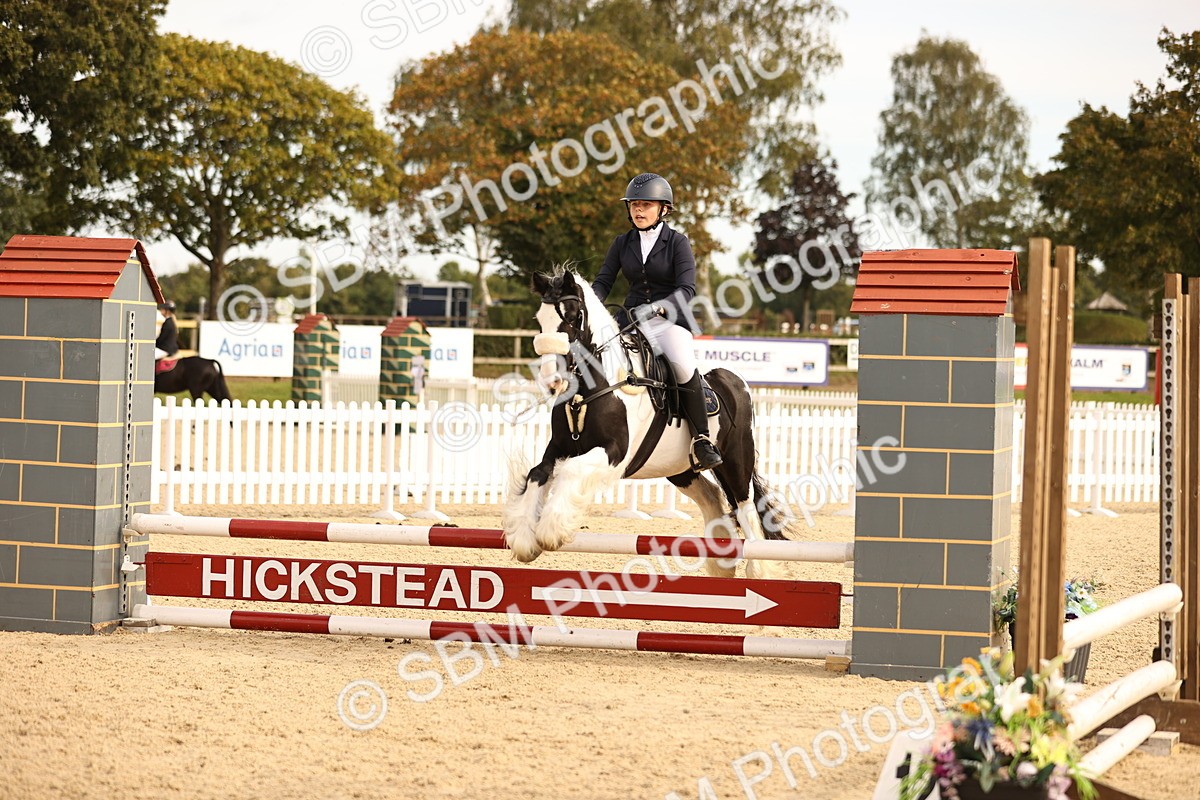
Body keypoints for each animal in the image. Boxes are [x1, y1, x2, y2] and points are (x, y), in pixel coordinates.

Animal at [502, 268, 790, 579]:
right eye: (539, 319)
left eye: (573, 316)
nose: (552, 381)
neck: (591, 389)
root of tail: (735, 381)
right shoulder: (559, 447)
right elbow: (537, 473)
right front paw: (524, 539)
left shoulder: (614, 452)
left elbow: (571, 470)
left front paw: (551, 530)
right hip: (680, 468)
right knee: (712, 495)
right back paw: (721, 563)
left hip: (736, 459)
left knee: (746, 507)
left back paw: (758, 571)